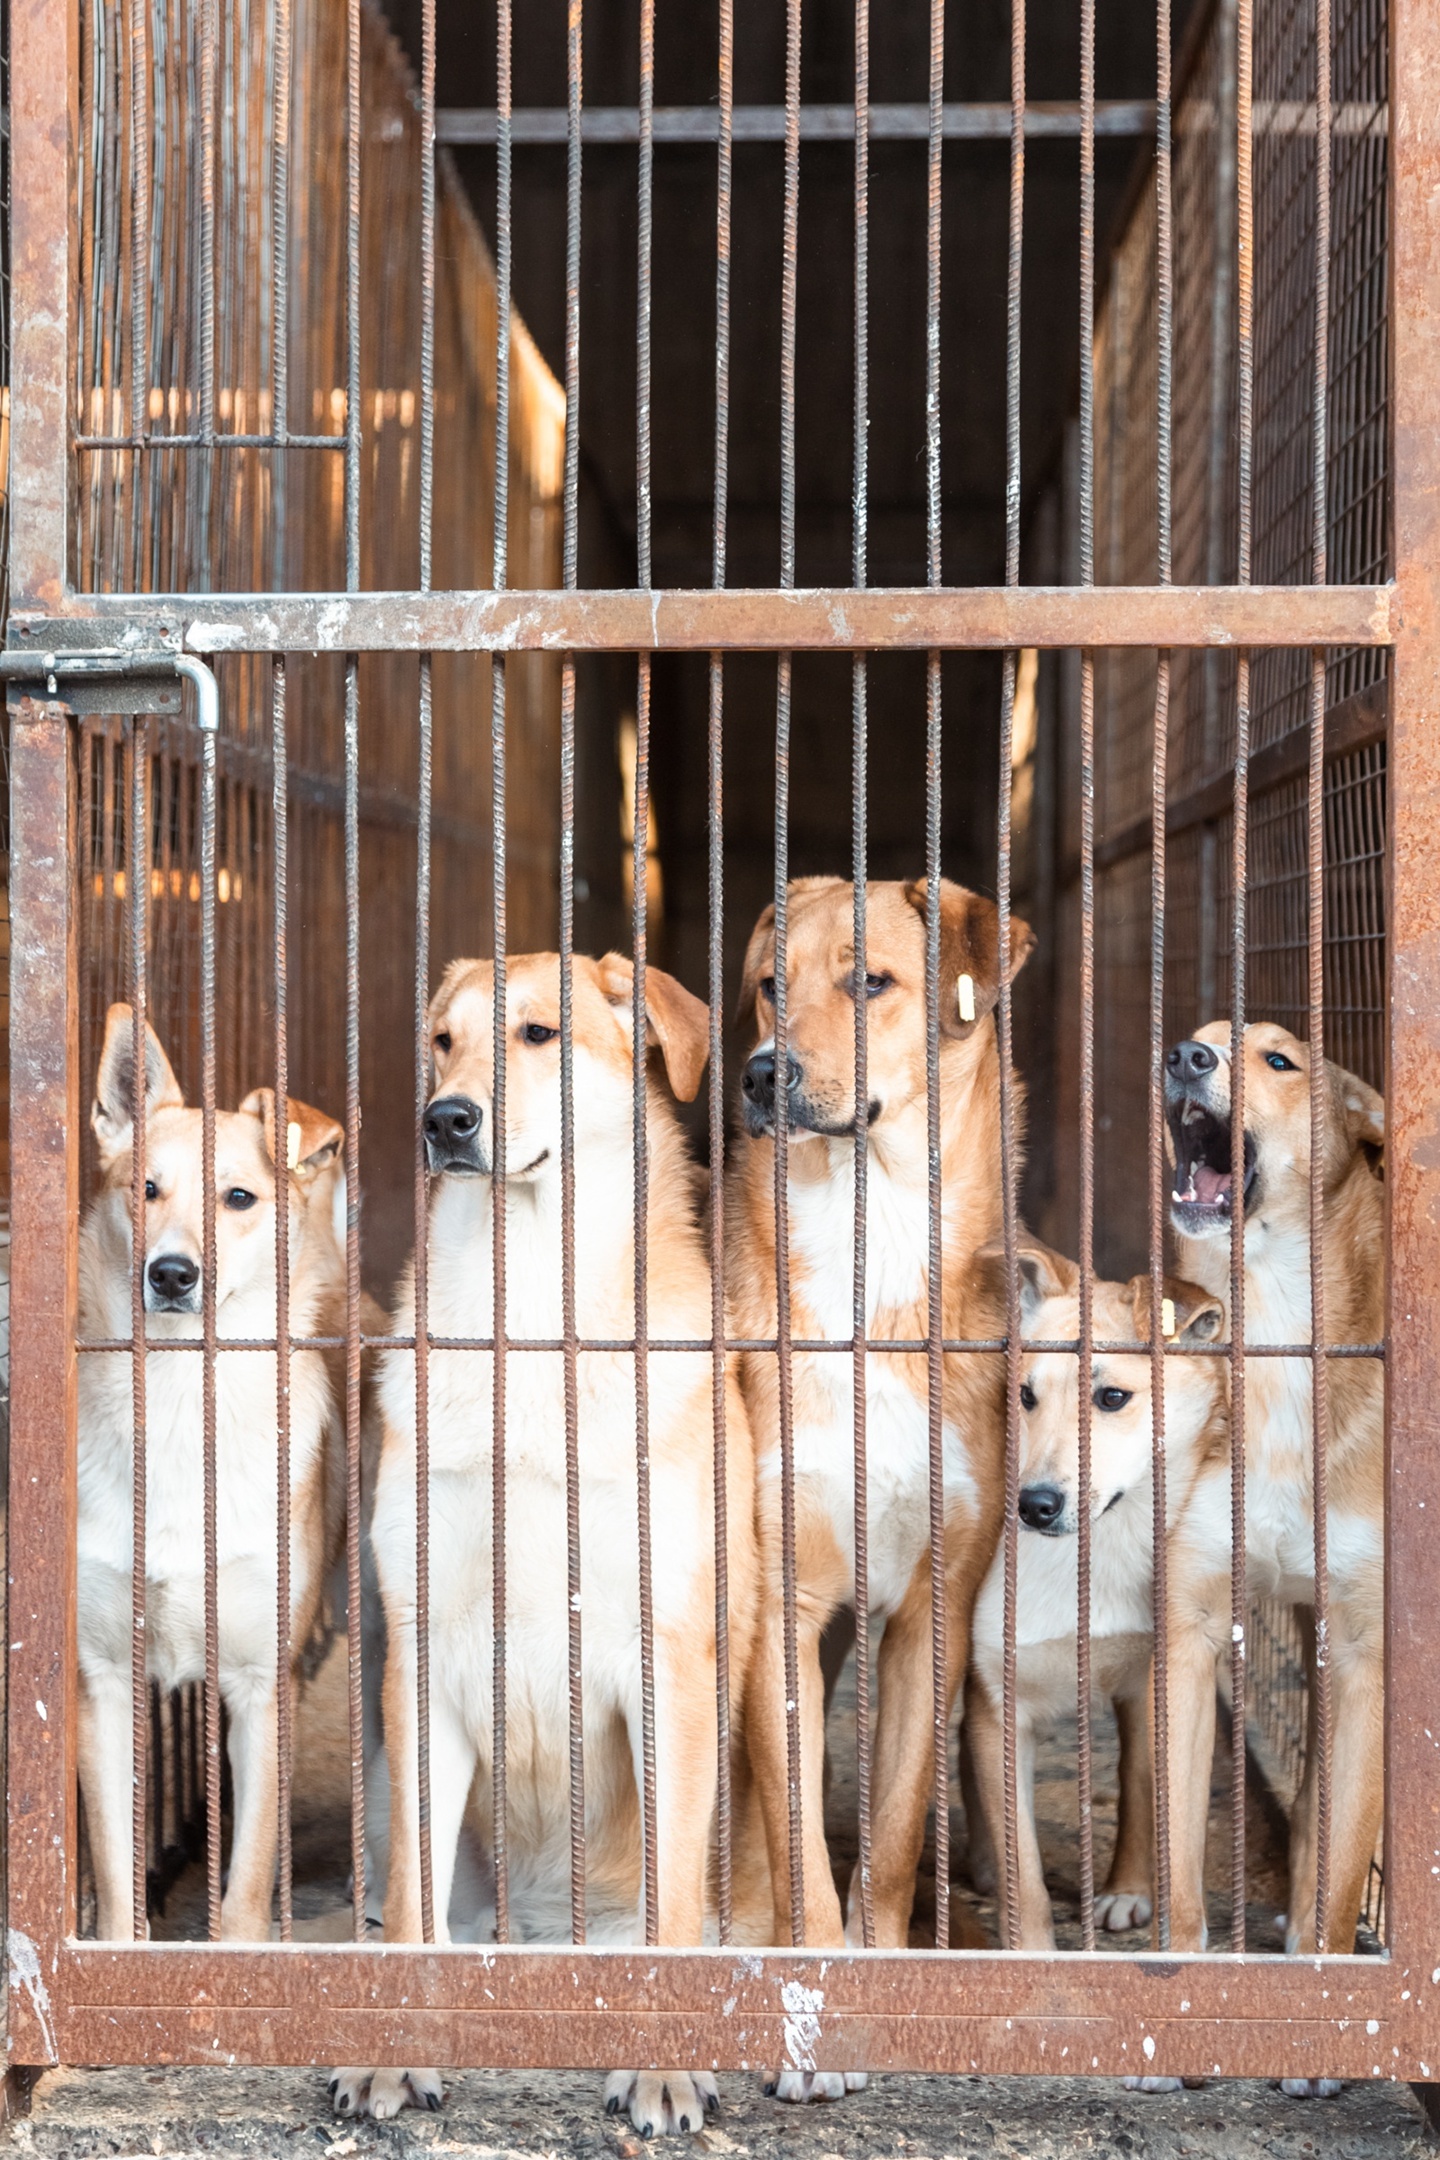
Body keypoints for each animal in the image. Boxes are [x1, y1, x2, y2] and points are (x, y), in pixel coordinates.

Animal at [78, 1006, 345, 1944]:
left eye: (237, 1199)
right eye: (145, 1189)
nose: (170, 1274)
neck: (179, 1404)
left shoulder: (264, 1689)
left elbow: (245, 1889)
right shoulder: (102, 1682)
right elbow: (118, 1881)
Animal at [336, 954, 759, 2134]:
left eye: (539, 1034)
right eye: (442, 1042)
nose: (445, 1119)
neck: (528, 1317)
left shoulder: (670, 1660)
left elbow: (671, 1911)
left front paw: (663, 2064)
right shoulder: (424, 1652)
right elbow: (413, 1908)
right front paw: (392, 2052)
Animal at [725, 872, 1031, 2090]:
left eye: (871, 981)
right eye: (771, 983)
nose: (760, 1073)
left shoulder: (931, 1614)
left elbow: (895, 1834)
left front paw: (881, 1971)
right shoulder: (780, 1604)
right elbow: (795, 1833)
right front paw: (808, 1999)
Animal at [962, 1244, 1226, 1952]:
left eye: (1112, 1397)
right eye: (1025, 1395)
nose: (1034, 1505)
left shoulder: (1167, 1679)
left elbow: (1159, 1809)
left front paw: (1152, 1908)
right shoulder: (998, 1706)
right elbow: (1023, 1872)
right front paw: (1031, 1950)